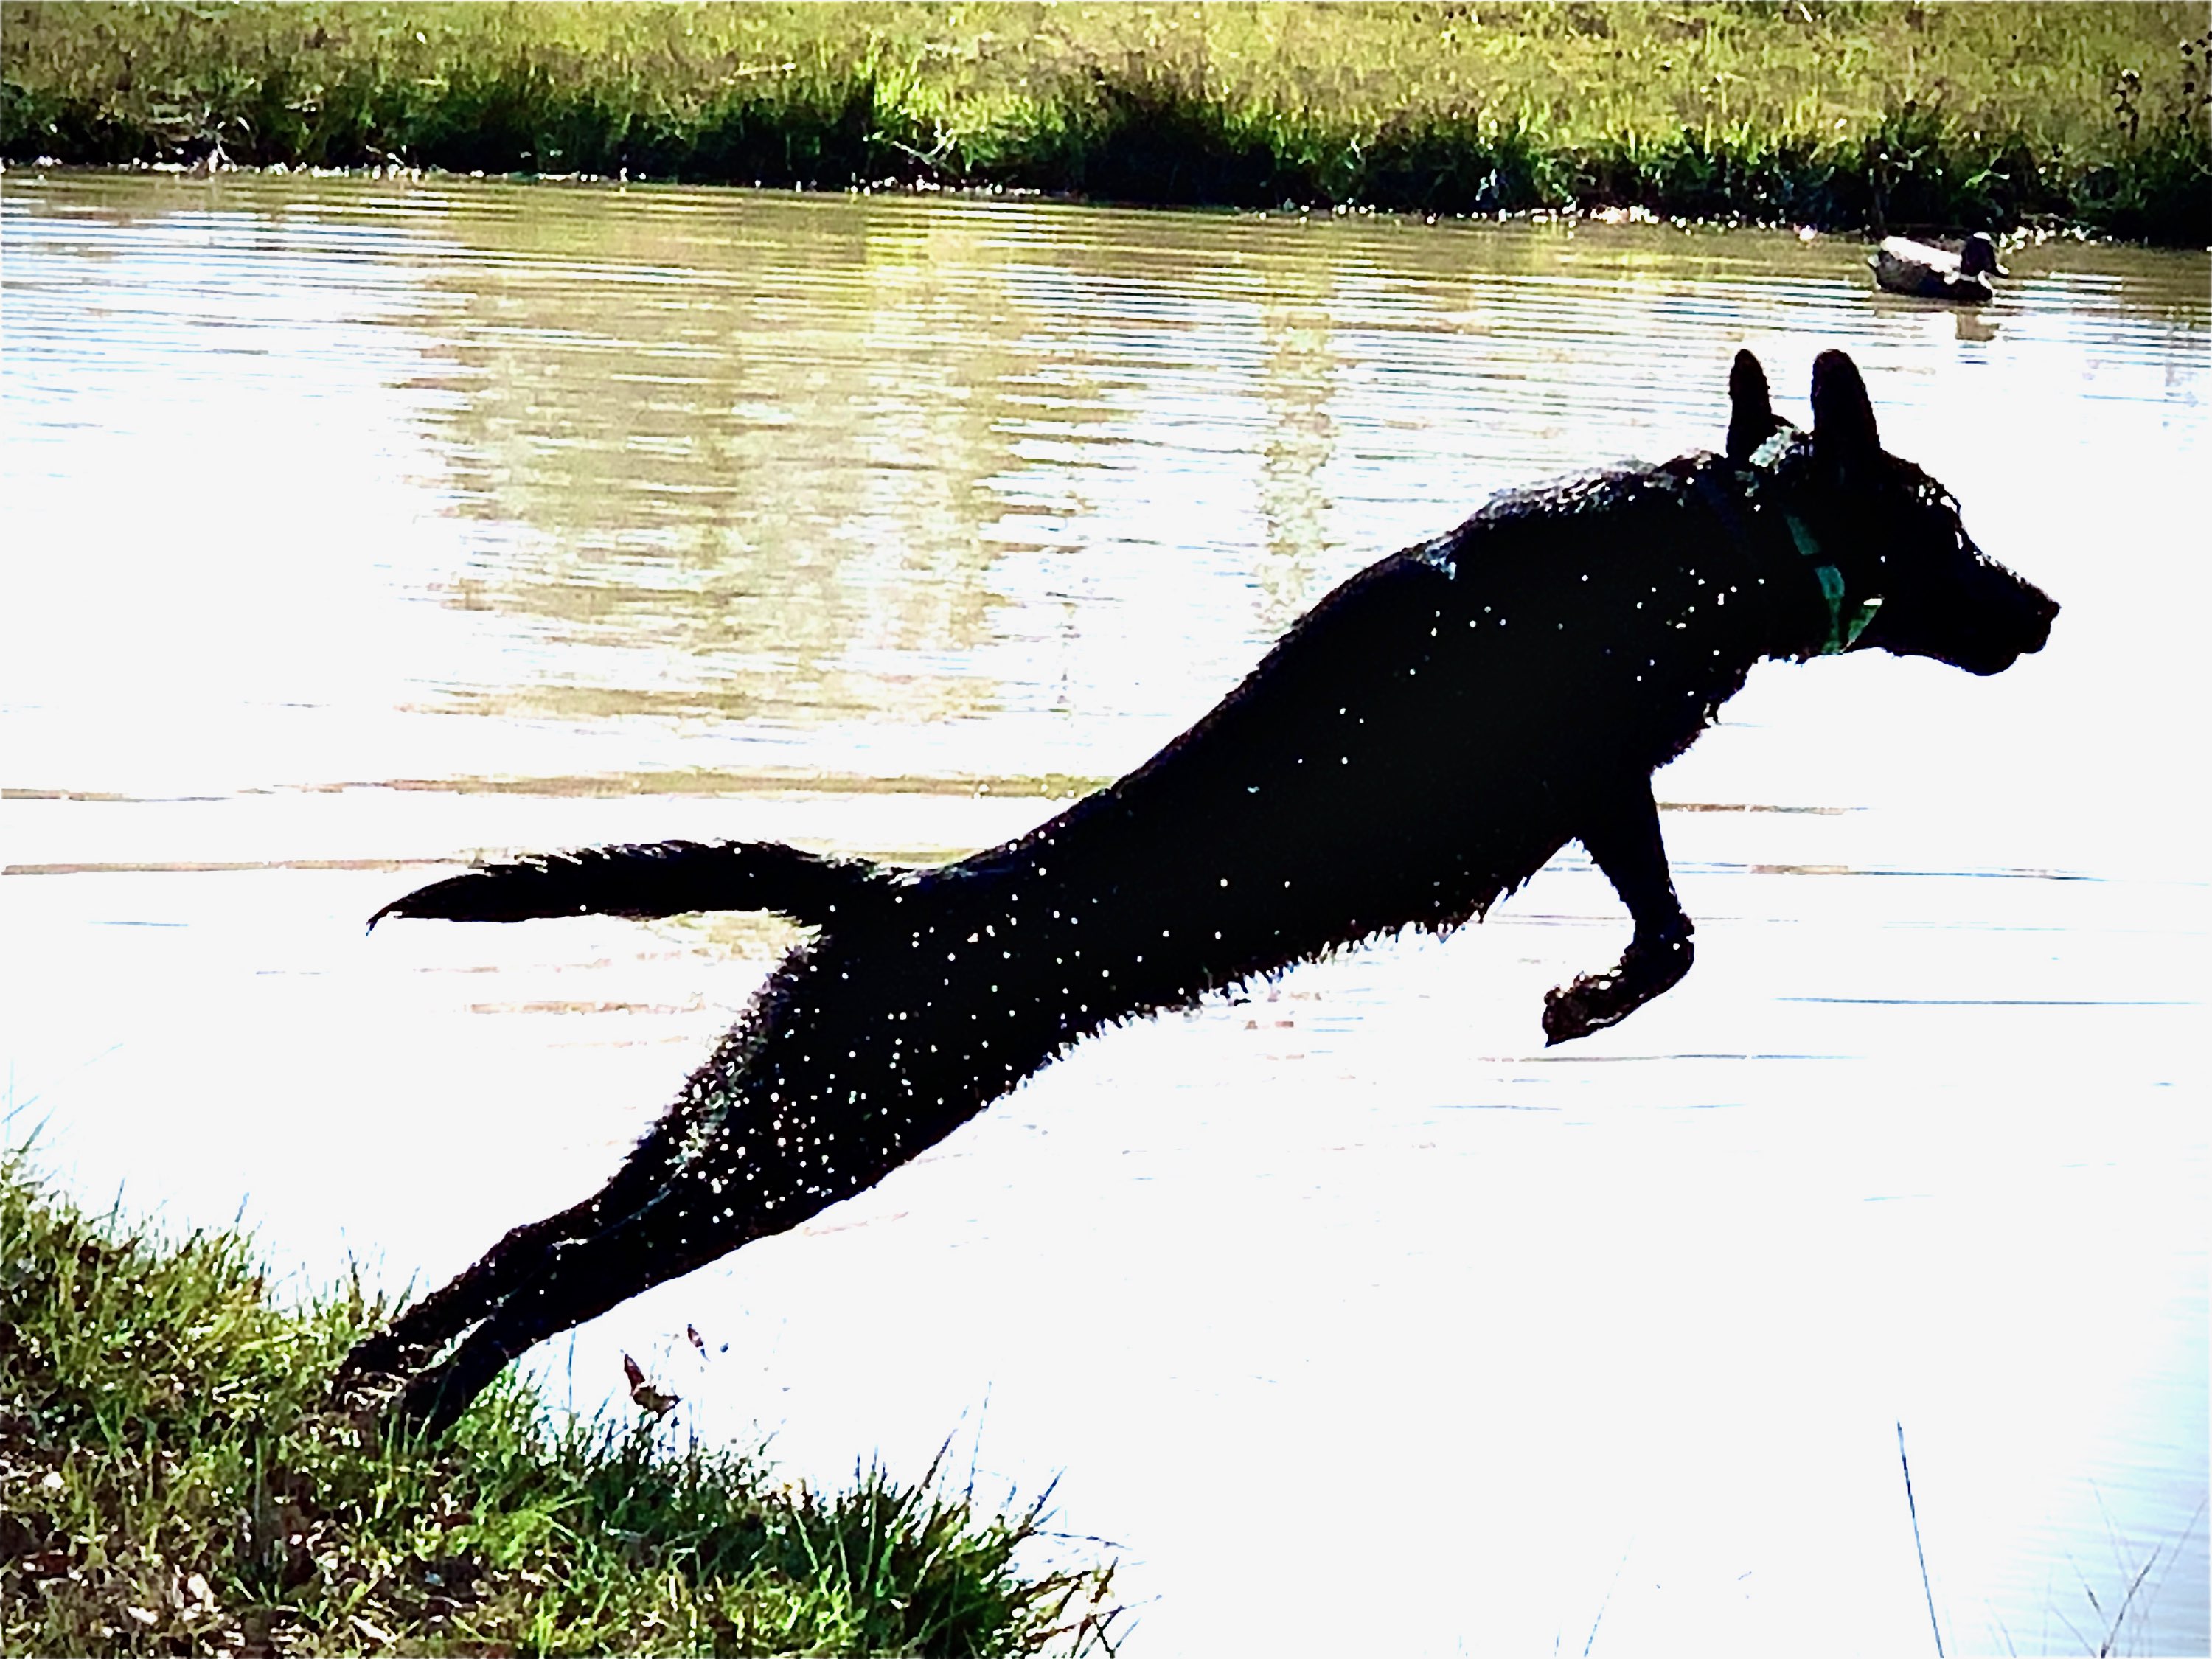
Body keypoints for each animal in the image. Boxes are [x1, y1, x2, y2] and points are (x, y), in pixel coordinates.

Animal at [341, 354, 2053, 1442]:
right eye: (1953, 524)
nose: (2044, 609)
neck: (1713, 532)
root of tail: (896, 897)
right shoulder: (1589, 778)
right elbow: (1676, 933)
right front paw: (1592, 1000)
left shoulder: (1601, 788)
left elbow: (1671, 922)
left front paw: (1588, 997)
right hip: (818, 1139)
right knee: (570, 1269)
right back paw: (423, 1415)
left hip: (748, 1107)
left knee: (538, 1231)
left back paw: (372, 1375)